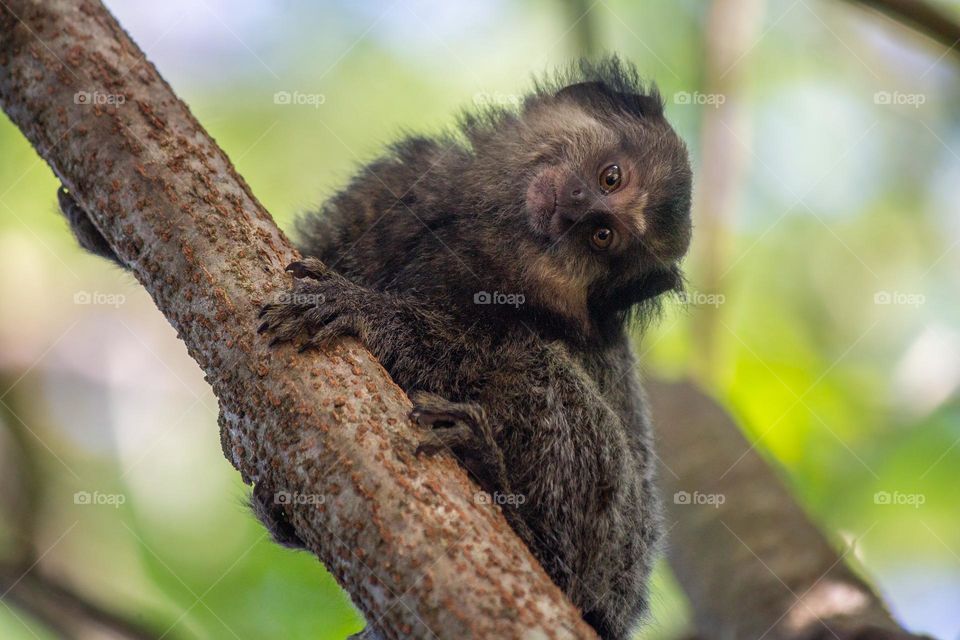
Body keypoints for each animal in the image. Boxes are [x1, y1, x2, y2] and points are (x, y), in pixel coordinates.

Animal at [57, 57, 692, 640]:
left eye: (602, 238)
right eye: (611, 178)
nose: (579, 210)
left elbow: (471, 349)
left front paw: (364, 311)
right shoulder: (401, 180)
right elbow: (306, 247)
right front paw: (102, 231)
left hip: (609, 559)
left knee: (546, 379)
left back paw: (504, 494)